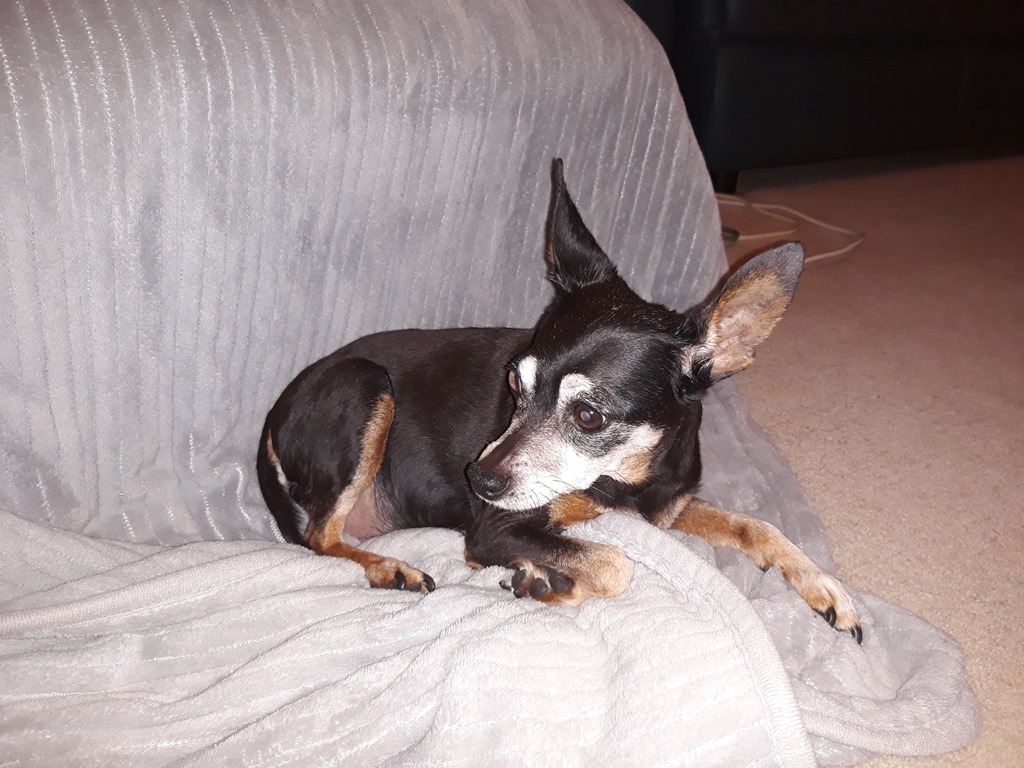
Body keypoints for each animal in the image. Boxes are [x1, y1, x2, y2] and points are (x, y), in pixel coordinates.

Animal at [257, 159, 862, 642]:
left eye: (589, 416)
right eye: (514, 386)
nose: (481, 481)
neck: (630, 478)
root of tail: (274, 415)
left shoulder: (667, 509)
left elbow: (756, 526)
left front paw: (824, 585)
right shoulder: (497, 528)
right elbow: (616, 564)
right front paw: (548, 583)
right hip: (365, 384)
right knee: (319, 536)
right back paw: (390, 568)